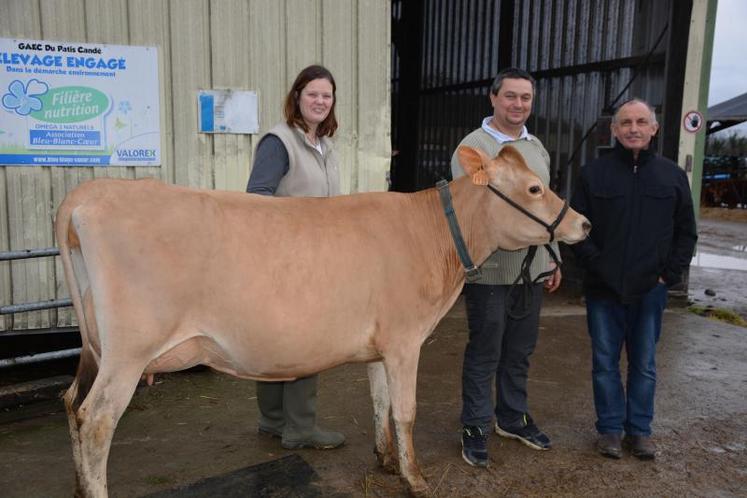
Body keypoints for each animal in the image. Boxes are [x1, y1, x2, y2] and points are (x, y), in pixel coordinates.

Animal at [57, 145, 592, 498]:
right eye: (535, 187)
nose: (583, 223)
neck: (433, 236)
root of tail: (87, 194)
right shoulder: (406, 339)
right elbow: (406, 410)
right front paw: (415, 477)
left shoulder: (382, 345)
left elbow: (380, 403)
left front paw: (385, 460)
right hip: (128, 352)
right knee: (97, 420)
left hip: (97, 347)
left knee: (72, 403)